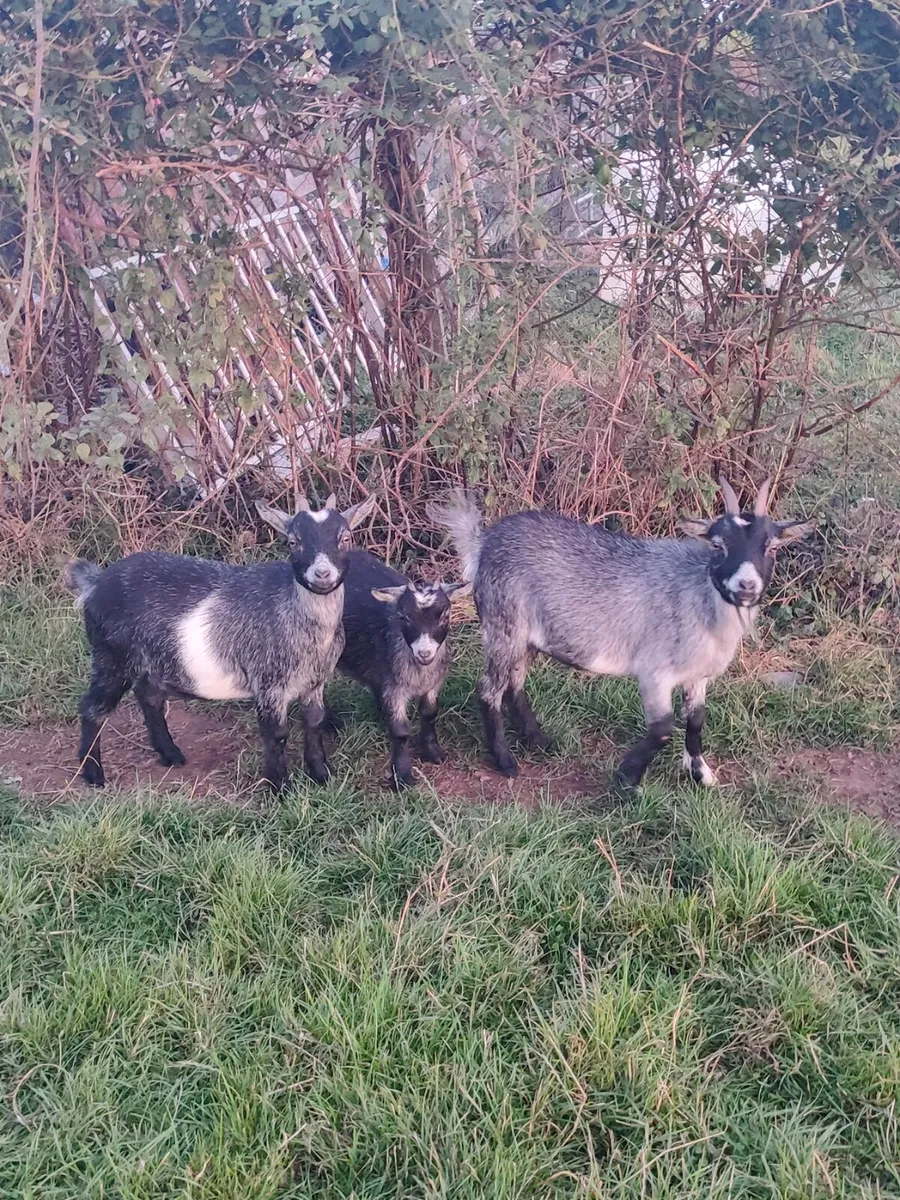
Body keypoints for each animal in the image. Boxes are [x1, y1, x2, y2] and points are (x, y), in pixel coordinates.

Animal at [65, 492, 376, 793]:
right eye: (293, 541)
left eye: (345, 538)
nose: (322, 574)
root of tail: (97, 582)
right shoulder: (269, 684)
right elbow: (276, 734)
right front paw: (279, 788)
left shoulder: (315, 682)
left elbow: (314, 722)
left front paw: (321, 775)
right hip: (111, 656)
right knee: (93, 707)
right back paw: (93, 773)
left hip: (154, 660)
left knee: (149, 696)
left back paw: (170, 754)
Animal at [326, 550, 469, 788]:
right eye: (404, 617)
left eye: (445, 615)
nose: (424, 653)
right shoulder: (395, 688)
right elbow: (401, 731)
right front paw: (402, 776)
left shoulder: (433, 684)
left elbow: (430, 713)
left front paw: (433, 752)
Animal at [428, 480, 814, 789]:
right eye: (718, 545)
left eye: (772, 546)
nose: (746, 585)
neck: (701, 596)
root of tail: (483, 543)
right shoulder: (655, 672)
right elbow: (663, 727)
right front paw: (626, 779)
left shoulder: (697, 676)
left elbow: (695, 722)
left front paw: (701, 774)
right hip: (502, 623)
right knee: (489, 689)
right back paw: (506, 761)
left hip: (527, 638)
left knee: (514, 684)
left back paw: (540, 741)